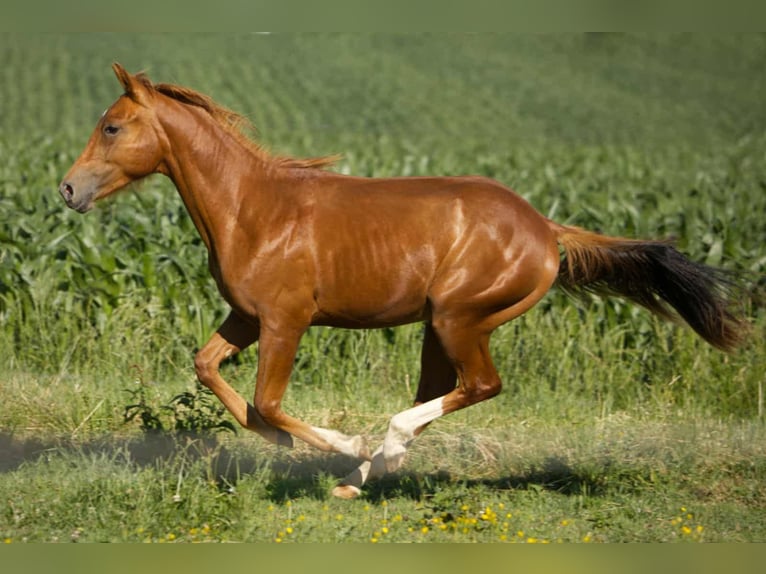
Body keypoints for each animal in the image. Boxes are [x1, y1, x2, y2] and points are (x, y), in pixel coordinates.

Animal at [59, 63, 747, 499]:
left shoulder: (286, 320)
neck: (253, 209)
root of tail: (546, 229)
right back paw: (360, 479)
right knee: (443, 391)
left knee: (481, 385)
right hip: (439, 329)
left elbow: (269, 399)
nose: (67, 189)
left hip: (459, 317)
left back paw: (377, 453)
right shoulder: (246, 317)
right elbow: (208, 369)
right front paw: (281, 443)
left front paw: (344, 441)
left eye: (112, 126)